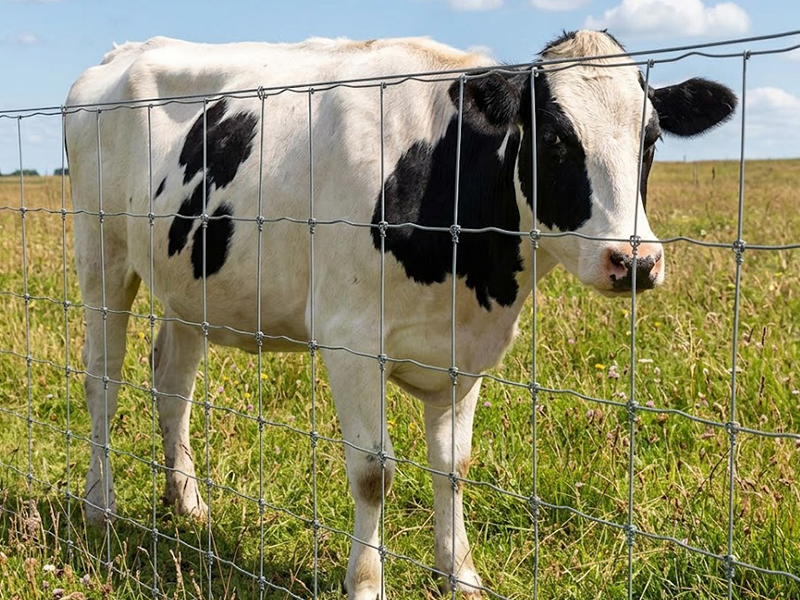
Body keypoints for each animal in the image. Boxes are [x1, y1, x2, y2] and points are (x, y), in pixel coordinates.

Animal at [65, 30, 736, 599]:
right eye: (554, 138)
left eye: (651, 139)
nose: (636, 261)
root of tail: (122, 53)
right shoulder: (350, 341)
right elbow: (373, 472)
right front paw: (366, 583)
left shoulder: (465, 348)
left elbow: (454, 467)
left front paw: (460, 574)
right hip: (101, 253)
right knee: (103, 378)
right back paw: (99, 507)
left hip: (192, 284)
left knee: (172, 382)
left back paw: (187, 503)